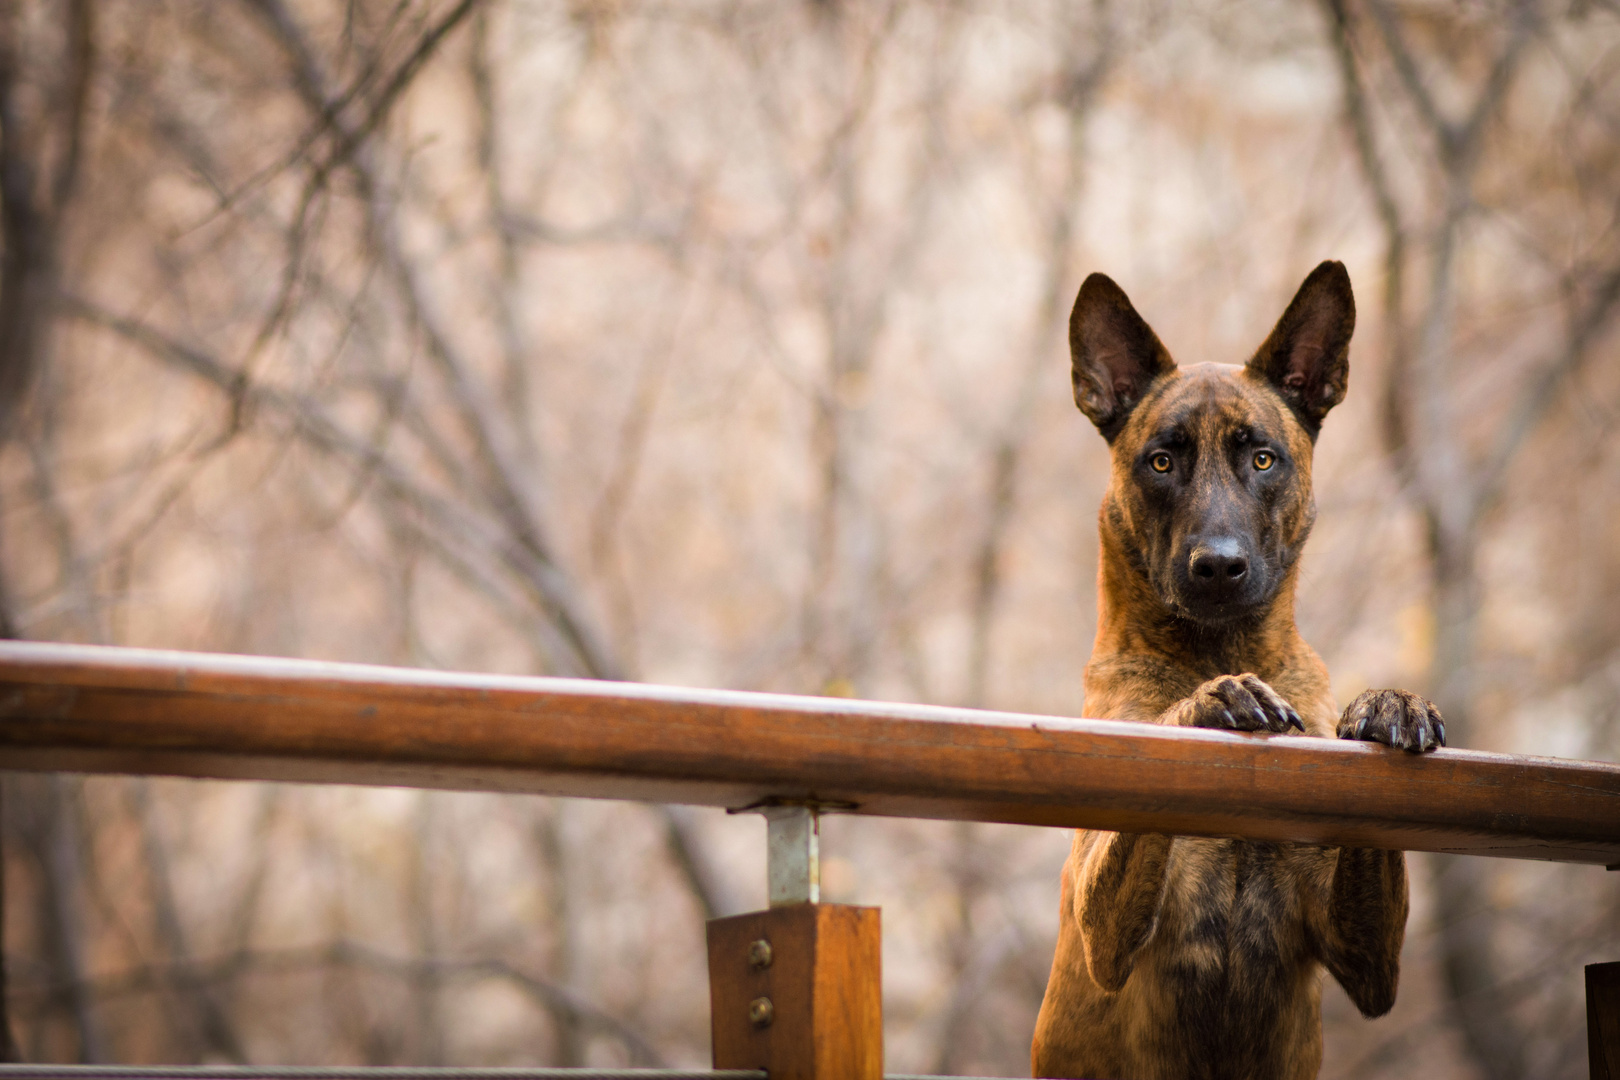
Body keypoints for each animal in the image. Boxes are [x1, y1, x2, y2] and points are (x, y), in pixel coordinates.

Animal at [1030, 262, 1451, 1080]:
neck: (1222, 646)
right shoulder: (1105, 932)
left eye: (1262, 458)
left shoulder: (1369, 961)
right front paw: (1215, 700)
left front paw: (1391, 704)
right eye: (1162, 461)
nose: (1219, 567)